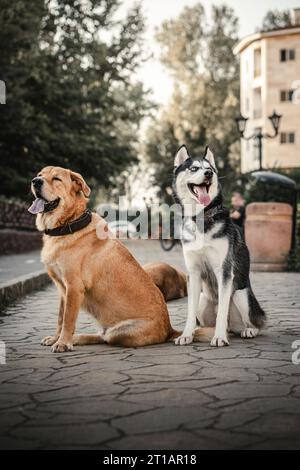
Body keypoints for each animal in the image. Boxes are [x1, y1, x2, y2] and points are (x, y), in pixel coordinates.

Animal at [29, 166, 213, 352]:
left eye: (57, 179)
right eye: (40, 175)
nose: (35, 181)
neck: (69, 224)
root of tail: (169, 329)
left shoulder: (73, 287)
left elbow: (67, 319)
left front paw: (63, 342)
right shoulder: (62, 290)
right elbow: (60, 318)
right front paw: (56, 338)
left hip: (119, 332)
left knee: (105, 337)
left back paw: (76, 339)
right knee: (101, 335)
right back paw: (78, 338)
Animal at [172, 145, 266, 346]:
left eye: (210, 169)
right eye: (194, 168)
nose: (208, 174)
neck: (201, 217)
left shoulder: (224, 270)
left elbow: (222, 311)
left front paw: (220, 337)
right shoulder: (193, 272)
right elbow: (190, 312)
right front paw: (186, 334)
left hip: (241, 294)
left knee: (253, 323)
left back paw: (248, 330)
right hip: (202, 298)